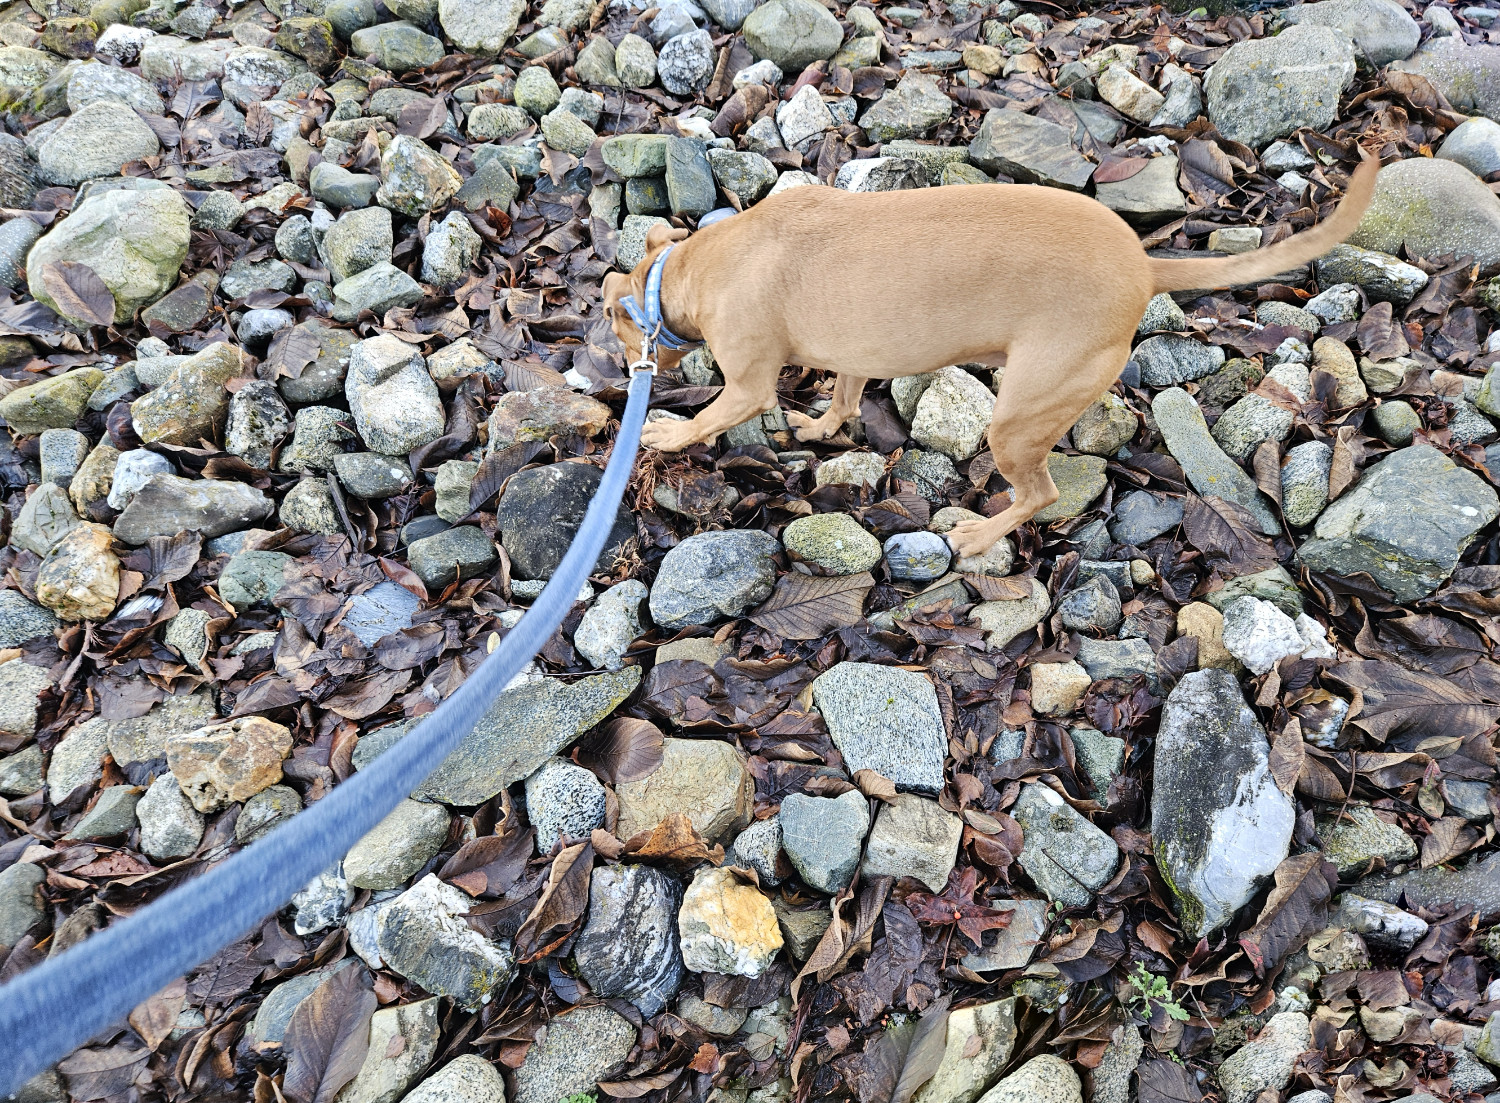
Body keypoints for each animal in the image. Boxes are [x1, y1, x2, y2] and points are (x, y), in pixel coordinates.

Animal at [603, 153, 1374, 561]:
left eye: (613, 326)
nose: (620, 370)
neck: (696, 268)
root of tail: (1144, 266)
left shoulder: (747, 385)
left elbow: (710, 416)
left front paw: (666, 433)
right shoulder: (855, 350)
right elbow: (846, 397)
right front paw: (823, 426)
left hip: (1018, 416)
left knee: (1042, 494)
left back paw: (979, 534)